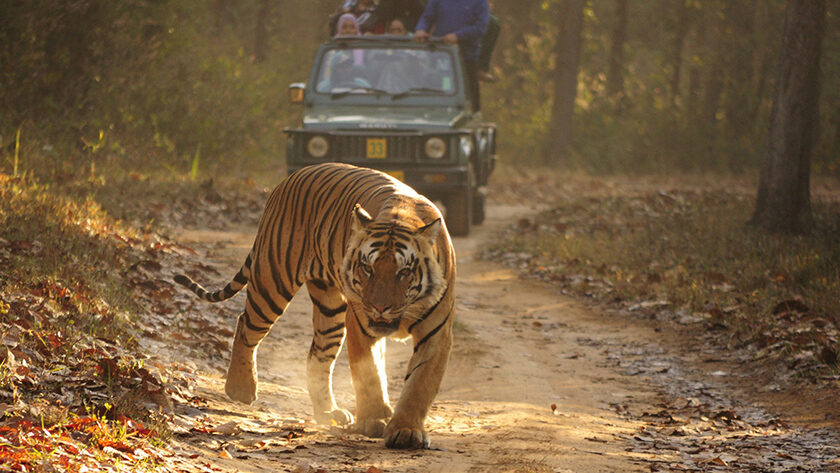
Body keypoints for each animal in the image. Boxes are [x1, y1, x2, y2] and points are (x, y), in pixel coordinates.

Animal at [173, 161, 456, 446]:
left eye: (404, 272)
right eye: (368, 268)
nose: (380, 307)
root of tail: (291, 177)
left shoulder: (436, 333)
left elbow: (420, 383)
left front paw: (406, 430)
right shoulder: (361, 324)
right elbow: (369, 375)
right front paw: (374, 420)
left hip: (329, 309)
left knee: (317, 356)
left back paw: (328, 412)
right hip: (273, 280)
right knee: (246, 325)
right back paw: (241, 388)